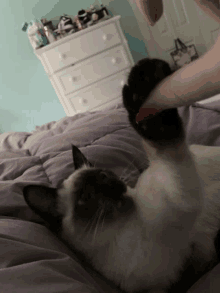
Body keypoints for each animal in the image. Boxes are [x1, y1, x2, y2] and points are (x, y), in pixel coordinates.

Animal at [22, 57, 220, 292]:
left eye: (104, 176)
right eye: (86, 196)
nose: (113, 186)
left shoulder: (178, 202)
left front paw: (144, 81)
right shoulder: (161, 283)